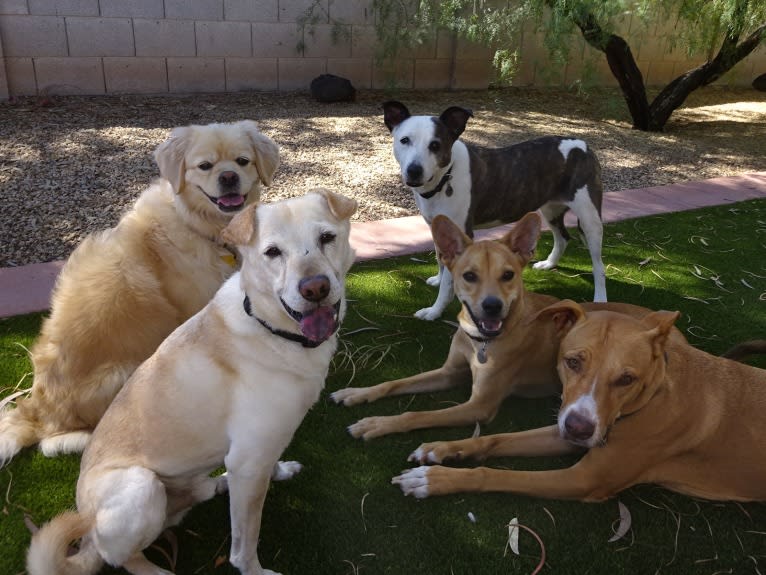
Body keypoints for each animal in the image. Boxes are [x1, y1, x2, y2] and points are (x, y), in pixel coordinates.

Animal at [0, 119, 282, 466]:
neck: (197, 224)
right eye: (205, 166)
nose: (228, 177)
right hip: (123, 372)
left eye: (243, 161)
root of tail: (37, 412)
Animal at [25, 191, 358, 575]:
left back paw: (218, 485)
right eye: (273, 252)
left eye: (326, 238)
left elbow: (267, 468)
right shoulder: (249, 460)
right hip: (141, 488)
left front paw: (282, 470)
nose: (315, 287)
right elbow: (245, 544)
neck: (268, 327)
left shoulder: (255, 454)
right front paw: (256, 571)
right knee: (122, 557)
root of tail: (89, 532)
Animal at [332, 212, 656, 440]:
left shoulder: (479, 406)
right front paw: (356, 393)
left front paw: (376, 424)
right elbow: (395, 383)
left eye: (508, 275)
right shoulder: (449, 372)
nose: (492, 306)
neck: (481, 342)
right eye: (469, 276)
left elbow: (417, 415)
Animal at [396, 302, 766, 504]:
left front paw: (434, 480)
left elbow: (495, 474)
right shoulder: (565, 429)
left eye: (626, 379)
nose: (579, 428)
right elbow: (496, 439)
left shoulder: (583, 479)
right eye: (572, 362)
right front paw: (443, 448)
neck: (655, 395)